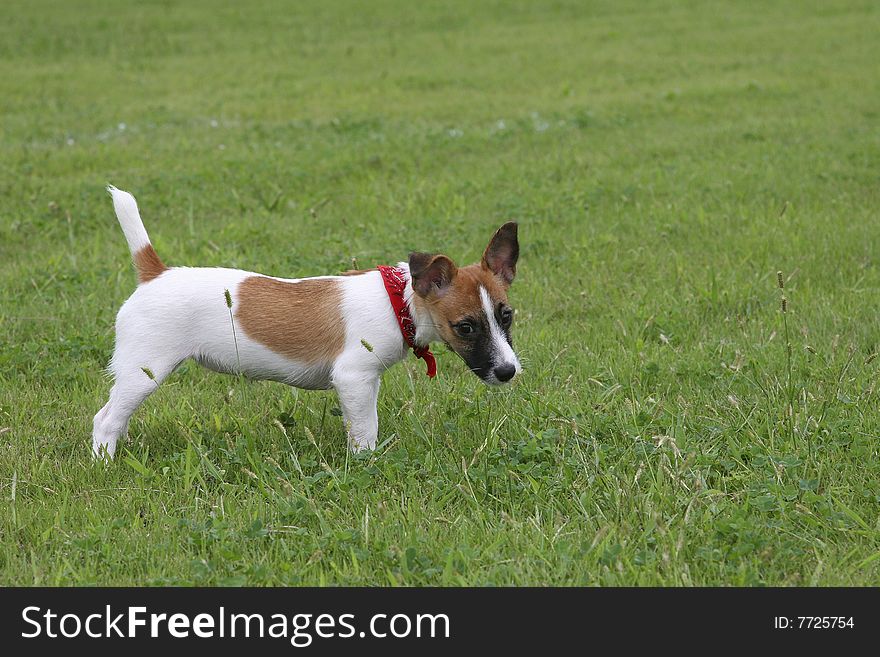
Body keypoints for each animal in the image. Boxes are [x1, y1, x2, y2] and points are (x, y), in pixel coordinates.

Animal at [94, 187, 524, 458]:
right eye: (465, 327)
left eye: (506, 314)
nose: (508, 372)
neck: (397, 301)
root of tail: (155, 274)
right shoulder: (353, 378)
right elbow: (365, 431)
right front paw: (367, 464)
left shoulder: (366, 382)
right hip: (144, 369)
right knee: (105, 420)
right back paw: (106, 463)